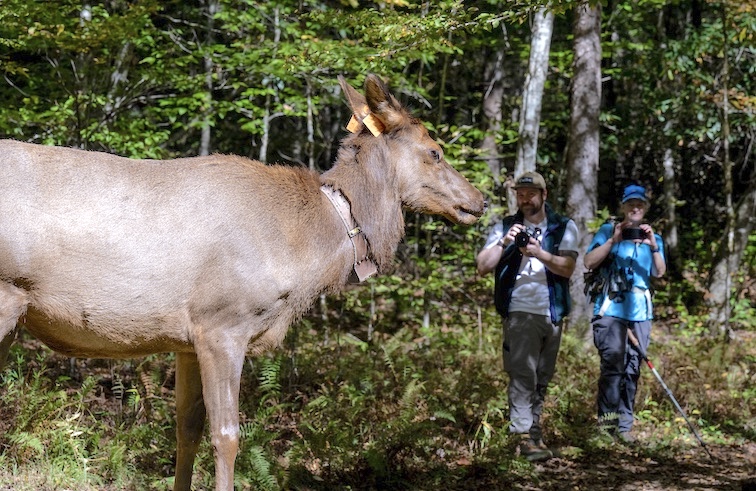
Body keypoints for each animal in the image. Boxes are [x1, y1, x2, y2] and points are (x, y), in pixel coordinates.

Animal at [0, 74, 486, 490]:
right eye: (435, 150)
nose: (479, 201)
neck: (306, 248)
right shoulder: (223, 324)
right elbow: (227, 435)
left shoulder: (186, 337)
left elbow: (187, 429)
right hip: (7, 297)